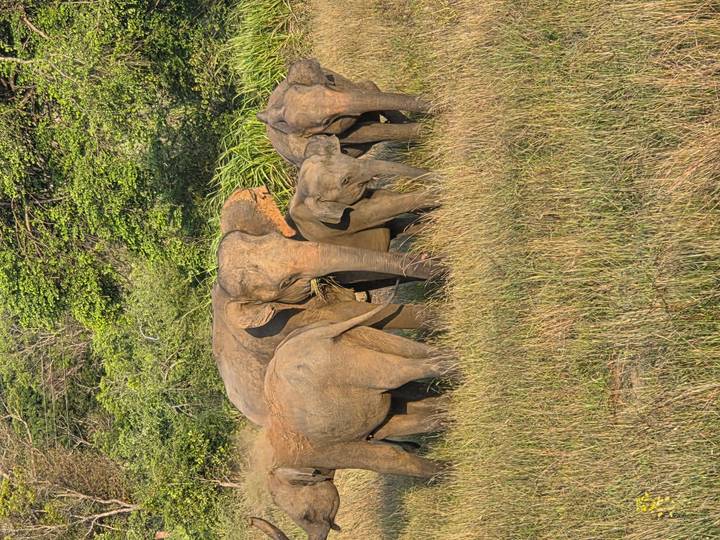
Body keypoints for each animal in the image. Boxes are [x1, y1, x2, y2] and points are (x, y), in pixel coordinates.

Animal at [258, 59, 429, 165]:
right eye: (326, 122)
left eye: (327, 85)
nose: (432, 103)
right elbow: (367, 132)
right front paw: (424, 131)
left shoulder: (346, 85)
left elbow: (369, 87)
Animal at [289, 135, 438, 251]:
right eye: (345, 180)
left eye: (347, 155)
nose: (437, 176)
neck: (301, 192)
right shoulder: (341, 224)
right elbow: (386, 206)